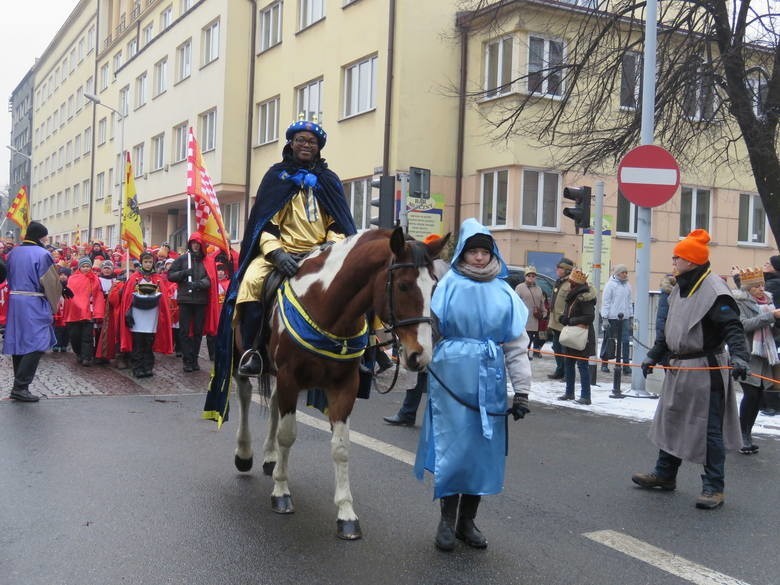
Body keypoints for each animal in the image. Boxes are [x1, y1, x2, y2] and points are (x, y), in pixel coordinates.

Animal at [233, 227, 444, 540]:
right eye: (404, 286)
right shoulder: (289, 377)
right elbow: (288, 435)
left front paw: (346, 513)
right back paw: (245, 453)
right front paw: (281, 491)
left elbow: (341, 447)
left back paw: (270, 458)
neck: (326, 305)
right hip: (241, 356)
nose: (421, 355)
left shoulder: (344, 386)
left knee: (272, 404)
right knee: (246, 397)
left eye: (435, 286)